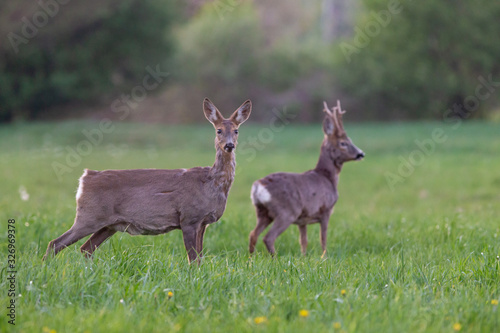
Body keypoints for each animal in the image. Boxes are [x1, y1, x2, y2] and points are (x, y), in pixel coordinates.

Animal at [43, 97, 252, 264]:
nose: (229, 145)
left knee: (86, 248)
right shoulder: (189, 217)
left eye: (236, 131)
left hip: (108, 224)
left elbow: (200, 257)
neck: (211, 183)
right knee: (56, 243)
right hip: (89, 216)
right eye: (218, 130)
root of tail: (85, 178)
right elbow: (193, 259)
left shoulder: (203, 222)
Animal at [249, 100, 364, 255]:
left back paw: (251, 258)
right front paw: (324, 257)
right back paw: (275, 258)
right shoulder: (326, 210)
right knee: (268, 237)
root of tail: (258, 186)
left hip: (262, 212)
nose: (361, 153)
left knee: (253, 234)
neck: (327, 177)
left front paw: (303, 257)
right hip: (286, 212)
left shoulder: (302, 220)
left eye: (349, 139)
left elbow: (303, 242)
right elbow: (323, 239)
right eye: (343, 143)